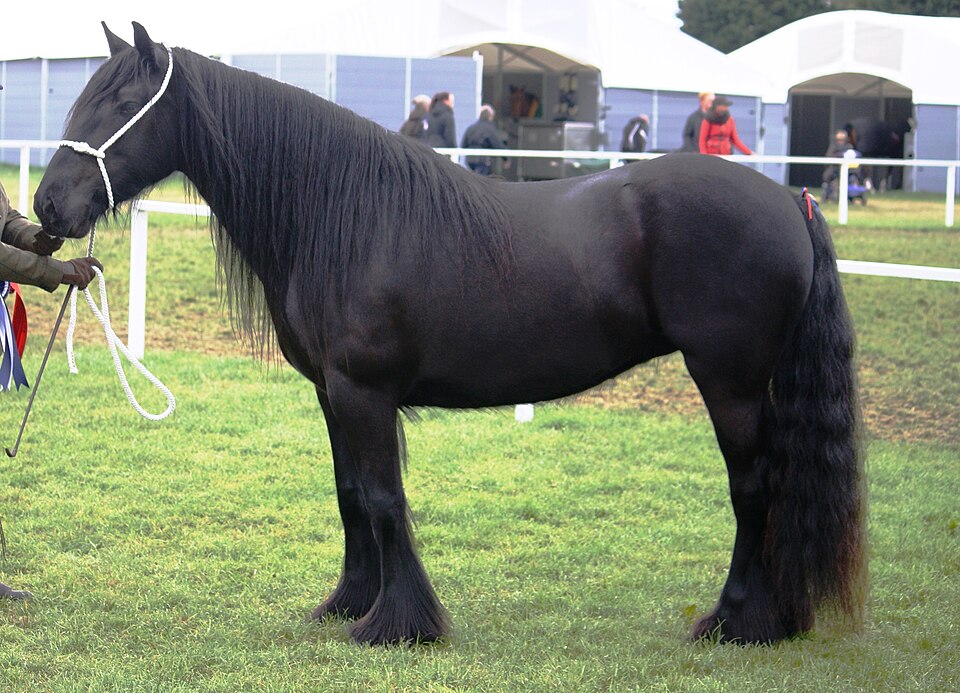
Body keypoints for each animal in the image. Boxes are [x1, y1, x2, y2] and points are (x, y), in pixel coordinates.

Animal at [35, 23, 866, 646]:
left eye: (121, 101)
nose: (47, 205)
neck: (340, 211)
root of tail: (789, 200)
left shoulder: (364, 391)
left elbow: (381, 497)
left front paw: (399, 623)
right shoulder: (333, 394)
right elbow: (348, 493)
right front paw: (348, 602)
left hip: (729, 380)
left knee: (753, 487)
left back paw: (737, 619)